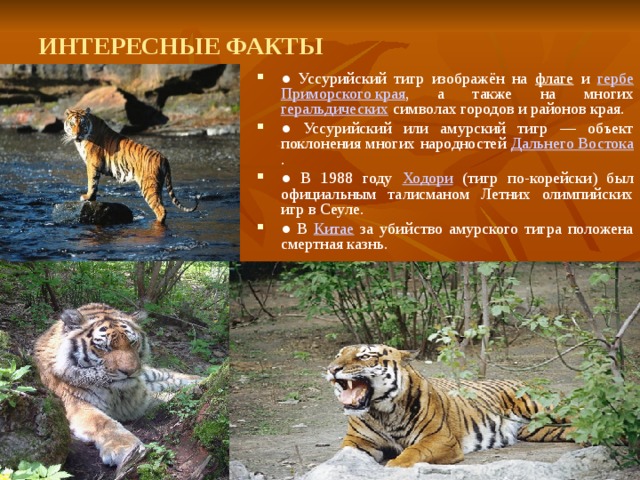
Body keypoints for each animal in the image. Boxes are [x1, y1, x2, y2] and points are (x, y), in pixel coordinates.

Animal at [34, 303, 202, 469]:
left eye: (133, 342)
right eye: (104, 347)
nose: (130, 371)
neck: (117, 391)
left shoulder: (139, 399)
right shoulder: (75, 403)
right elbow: (103, 423)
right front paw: (124, 448)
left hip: (150, 374)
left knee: (170, 375)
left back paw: (202, 380)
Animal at [62, 107, 198, 224]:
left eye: (82, 124)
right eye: (72, 124)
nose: (77, 135)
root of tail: (163, 157)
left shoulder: (92, 164)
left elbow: (92, 182)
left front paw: (87, 197)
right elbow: (95, 184)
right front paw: (92, 198)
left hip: (148, 186)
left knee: (161, 210)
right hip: (157, 187)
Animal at [327, 344, 573, 467]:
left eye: (364, 356)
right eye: (337, 355)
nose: (331, 369)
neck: (382, 412)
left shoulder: (440, 438)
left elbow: (412, 451)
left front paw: (395, 465)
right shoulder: (357, 441)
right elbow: (344, 454)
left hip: (546, 407)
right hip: (537, 430)